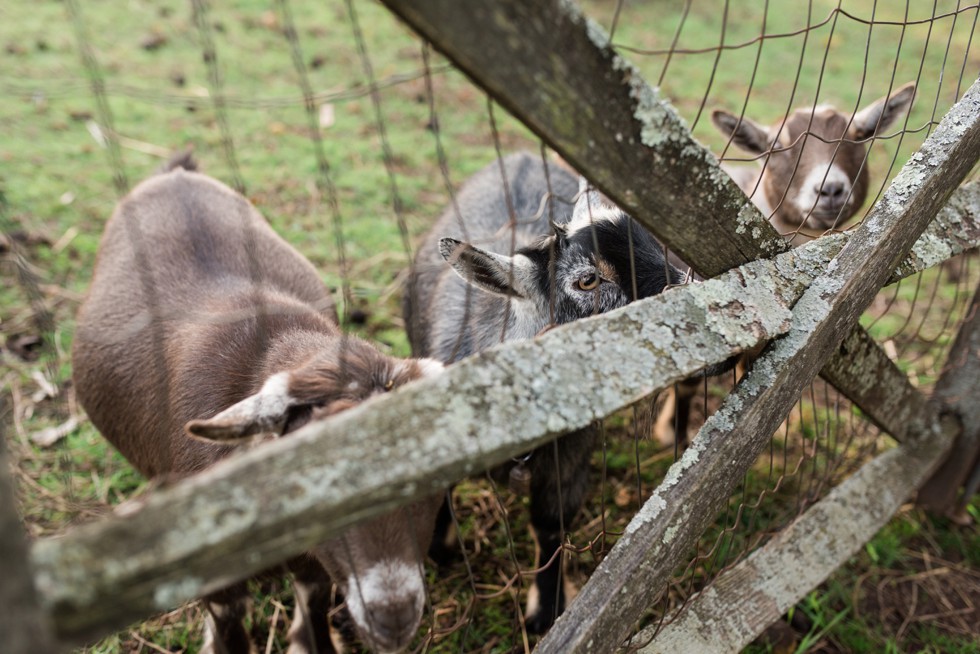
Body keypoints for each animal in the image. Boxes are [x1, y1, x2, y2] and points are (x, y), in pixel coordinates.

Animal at [402, 152, 692, 636]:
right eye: (587, 280)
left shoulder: (569, 458)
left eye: (654, 244)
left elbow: (551, 525)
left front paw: (546, 609)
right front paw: (440, 548)